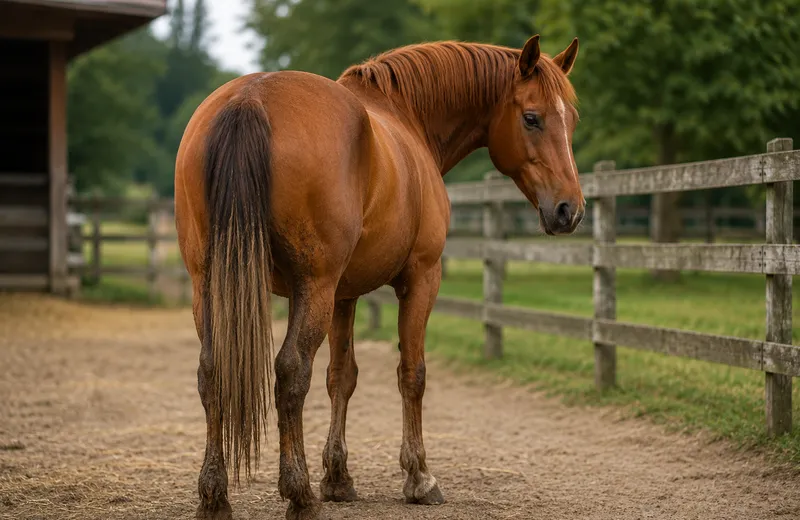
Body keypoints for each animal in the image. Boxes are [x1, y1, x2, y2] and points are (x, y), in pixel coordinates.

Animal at [174, 34, 584, 520]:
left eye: (571, 119)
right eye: (532, 118)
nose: (570, 209)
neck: (407, 119)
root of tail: (250, 98)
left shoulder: (343, 295)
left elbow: (341, 376)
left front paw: (338, 477)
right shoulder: (421, 278)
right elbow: (412, 373)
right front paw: (419, 477)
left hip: (211, 285)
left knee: (211, 372)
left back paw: (214, 497)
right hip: (313, 287)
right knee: (291, 374)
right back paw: (299, 494)